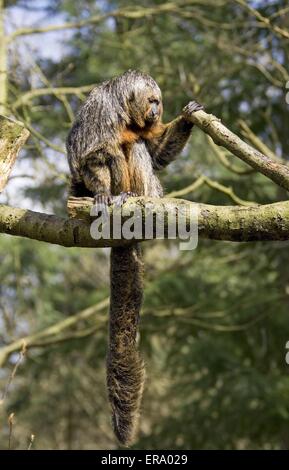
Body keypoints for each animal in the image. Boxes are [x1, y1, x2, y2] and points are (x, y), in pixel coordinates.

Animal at [66, 70, 204, 444]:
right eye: (152, 101)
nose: (156, 111)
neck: (126, 116)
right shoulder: (99, 112)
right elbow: (93, 156)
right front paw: (101, 194)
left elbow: (154, 152)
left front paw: (188, 119)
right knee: (115, 151)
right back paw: (119, 196)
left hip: (153, 190)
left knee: (138, 149)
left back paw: (140, 200)